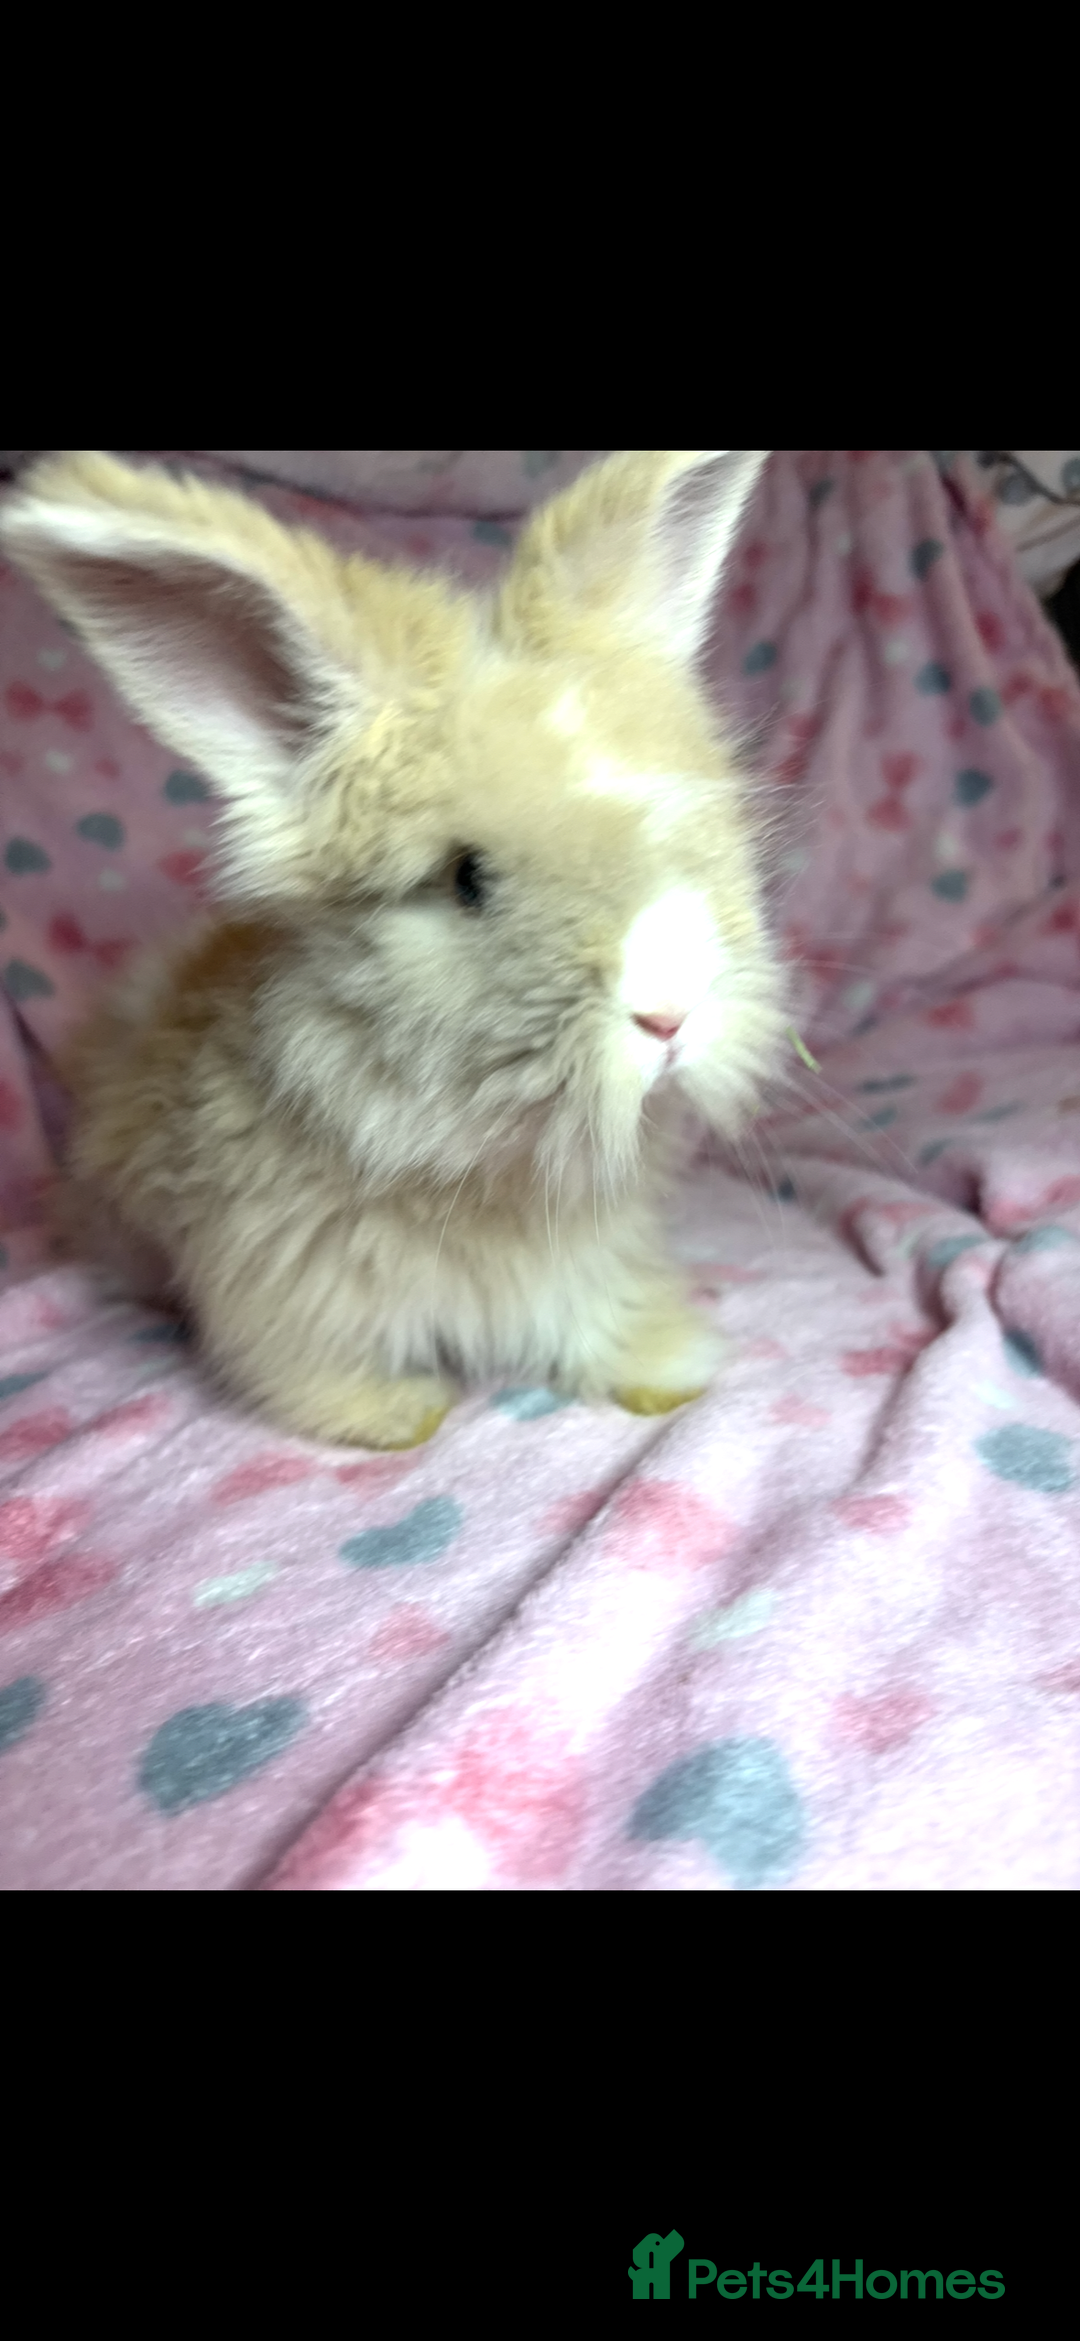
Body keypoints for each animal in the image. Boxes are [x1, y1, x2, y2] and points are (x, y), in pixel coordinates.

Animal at [0, 449, 788, 1449]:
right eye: (465, 878)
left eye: (688, 825)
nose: (671, 1014)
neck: (496, 1164)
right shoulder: (283, 1281)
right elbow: (309, 1365)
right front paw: (393, 1416)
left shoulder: (590, 1261)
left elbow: (600, 1316)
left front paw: (666, 1371)